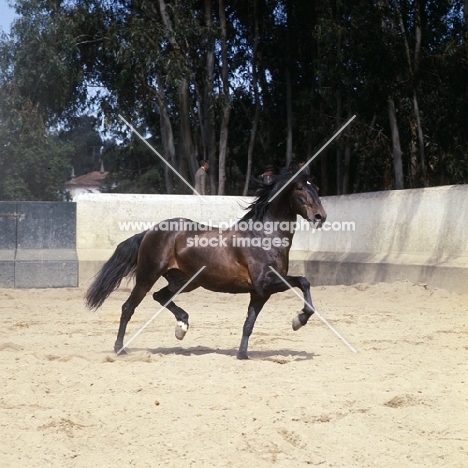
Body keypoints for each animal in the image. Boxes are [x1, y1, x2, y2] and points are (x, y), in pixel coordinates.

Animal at [85, 172, 326, 358]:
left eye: (316, 188)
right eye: (300, 189)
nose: (320, 216)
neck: (264, 236)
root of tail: (150, 231)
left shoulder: (259, 293)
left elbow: (249, 324)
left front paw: (242, 354)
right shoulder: (265, 283)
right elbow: (304, 281)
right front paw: (299, 320)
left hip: (185, 281)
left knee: (160, 296)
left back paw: (181, 327)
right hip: (147, 276)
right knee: (128, 307)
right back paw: (120, 349)